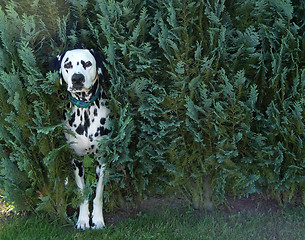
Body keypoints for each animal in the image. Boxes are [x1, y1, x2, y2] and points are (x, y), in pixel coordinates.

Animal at [50, 48, 110, 229]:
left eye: (87, 63)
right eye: (68, 65)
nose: (77, 78)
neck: (85, 112)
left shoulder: (102, 159)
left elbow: (98, 194)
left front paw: (97, 220)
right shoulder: (76, 160)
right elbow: (82, 193)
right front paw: (83, 220)